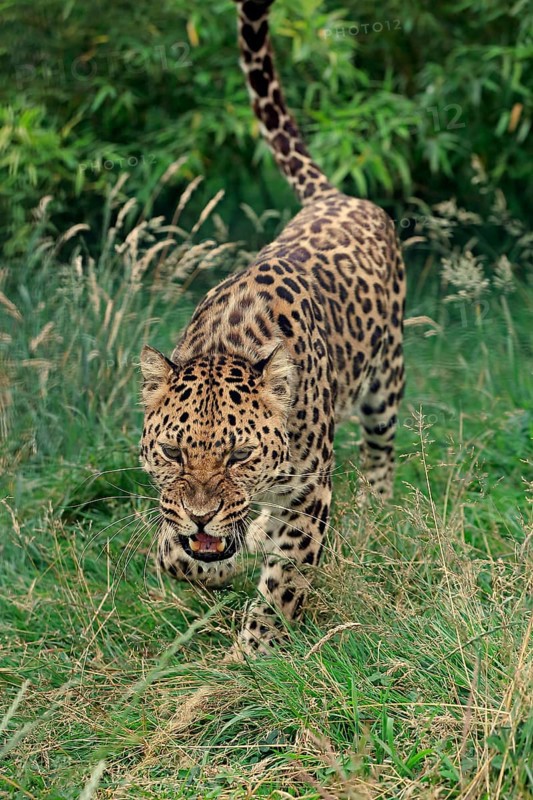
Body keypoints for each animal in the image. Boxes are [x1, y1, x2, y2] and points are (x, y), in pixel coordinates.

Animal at [140, 0, 406, 655]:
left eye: (239, 455)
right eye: (172, 452)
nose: (202, 515)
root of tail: (336, 197)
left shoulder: (312, 491)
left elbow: (285, 578)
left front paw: (254, 654)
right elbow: (175, 553)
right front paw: (206, 557)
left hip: (385, 386)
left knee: (381, 451)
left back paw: (379, 510)